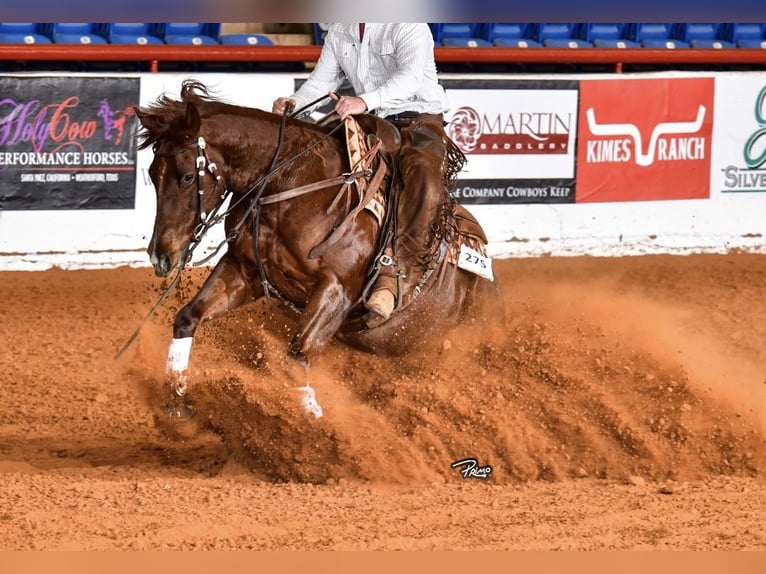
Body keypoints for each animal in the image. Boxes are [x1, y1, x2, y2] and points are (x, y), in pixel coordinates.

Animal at [133, 80, 501, 419]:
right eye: (152, 173)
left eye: (186, 177)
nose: (160, 255)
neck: (291, 185)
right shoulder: (243, 269)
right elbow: (188, 317)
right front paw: (177, 400)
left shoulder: (336, 289)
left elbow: (298, 354)